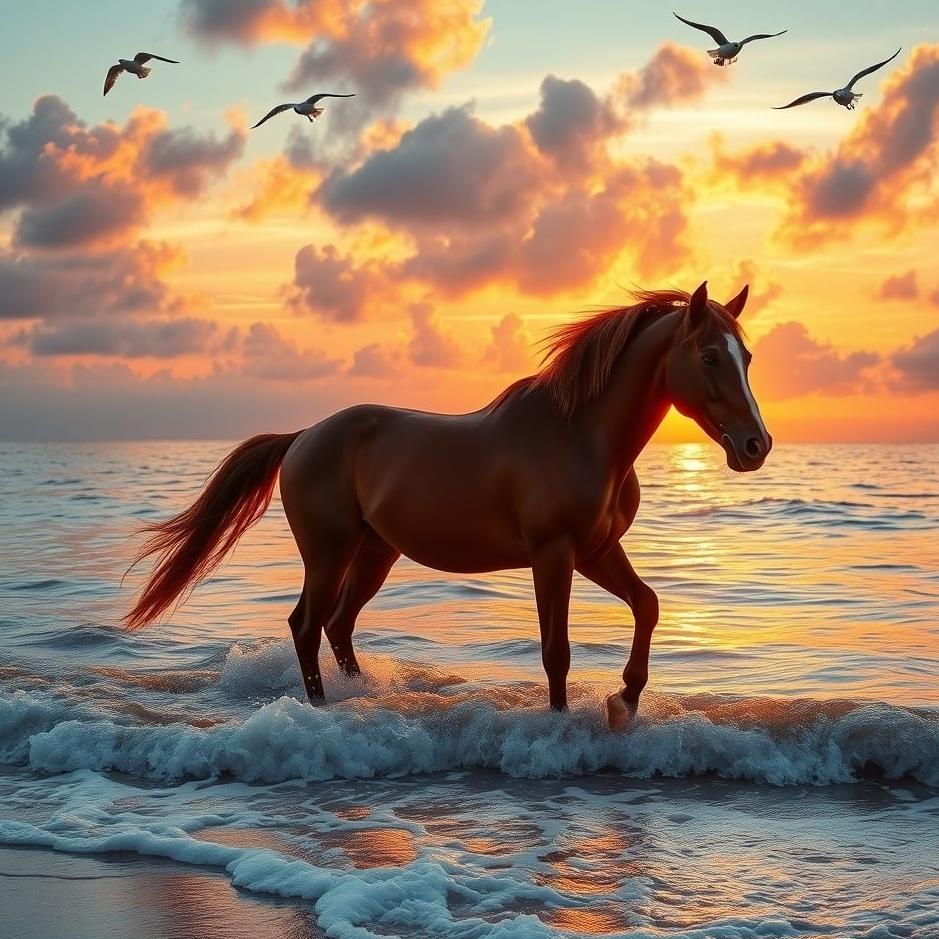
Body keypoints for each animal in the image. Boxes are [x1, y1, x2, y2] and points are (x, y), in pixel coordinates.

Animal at [125, 281, 771, 730]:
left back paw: (358, 695)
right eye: (709, 357)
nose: (755, 445)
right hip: (328, 552)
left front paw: (626, 699)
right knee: (307, 624)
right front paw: (566, 722)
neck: (580, 435)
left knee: (338, 624)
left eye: (747, 357)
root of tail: (305, 435)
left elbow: (648, 605)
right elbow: (555, 650)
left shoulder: (596, 550)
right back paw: (322, 708)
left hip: (375, 553)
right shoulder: (554, 553)